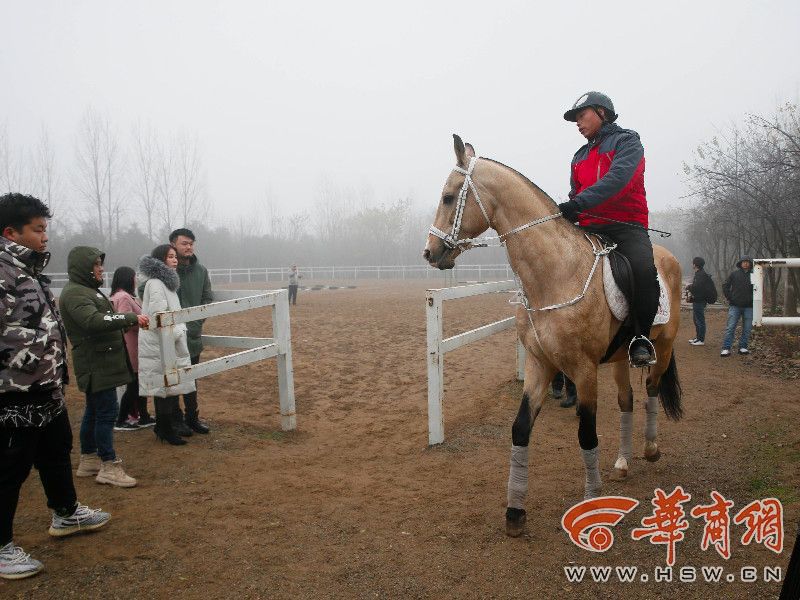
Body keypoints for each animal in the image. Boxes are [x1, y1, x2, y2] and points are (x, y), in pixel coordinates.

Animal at [423, 135, 683, 538]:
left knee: (652, 391)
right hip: (620, 357)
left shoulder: (584, 370)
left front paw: (592, 505)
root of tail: (667, 255)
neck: (557, 273)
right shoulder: (539, 363)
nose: (430, 252)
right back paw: (623, 463)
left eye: (449, 197)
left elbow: (587, 435)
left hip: (664, 347)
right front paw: (515, 512)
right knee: (626, 400)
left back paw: (651, 449)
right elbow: (520, 429)